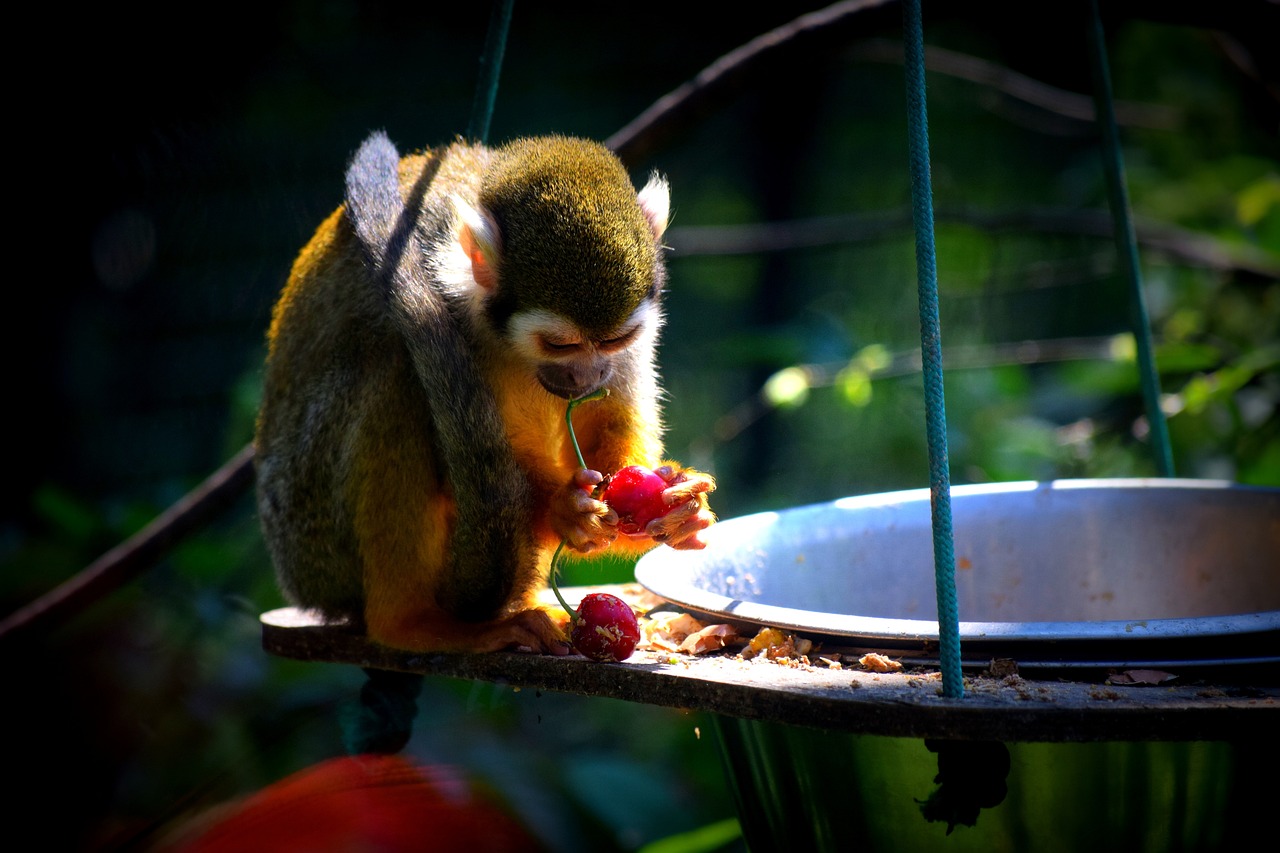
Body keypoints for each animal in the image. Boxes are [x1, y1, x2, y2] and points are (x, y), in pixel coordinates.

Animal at [249, 133, 711, 650]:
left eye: (615, 339)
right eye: (560, 344)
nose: (588, 378)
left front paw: (675, 506)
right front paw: (565, 509)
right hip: (313, 537)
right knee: (396, 373)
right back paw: (412, 623)